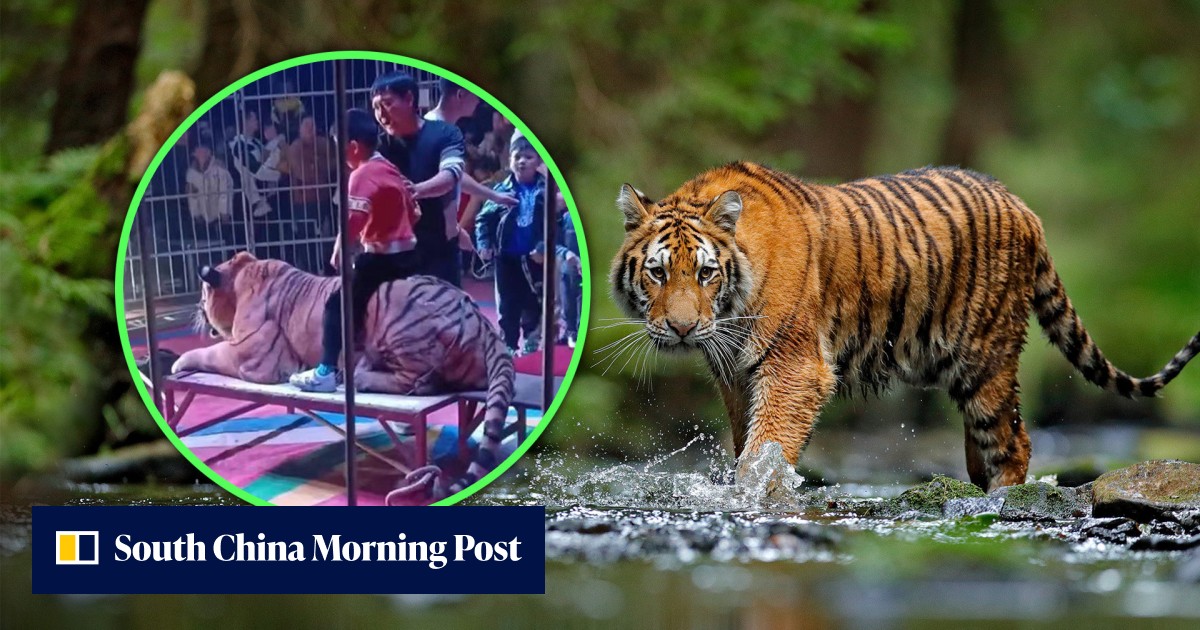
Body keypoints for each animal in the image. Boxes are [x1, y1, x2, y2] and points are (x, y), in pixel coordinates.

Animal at [170, 251, 515, 502]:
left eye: (204, 295)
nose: (198, 309)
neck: (243, 275)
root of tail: (477, 314)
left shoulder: (254, 356)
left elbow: (211, 352)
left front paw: (177, 362)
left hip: (396, 320)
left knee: (414, 381)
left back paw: (360, 376)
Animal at [611, 162, 1200, 491]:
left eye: (705, 273)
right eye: (658, 272)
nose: (682, 329)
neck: (731, 308)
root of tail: (1023, 206)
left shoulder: (795, 367)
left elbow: (765, 448)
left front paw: (754, 492)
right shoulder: (735, 374)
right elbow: (745, 442)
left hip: (986, 359)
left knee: (1014, 443)